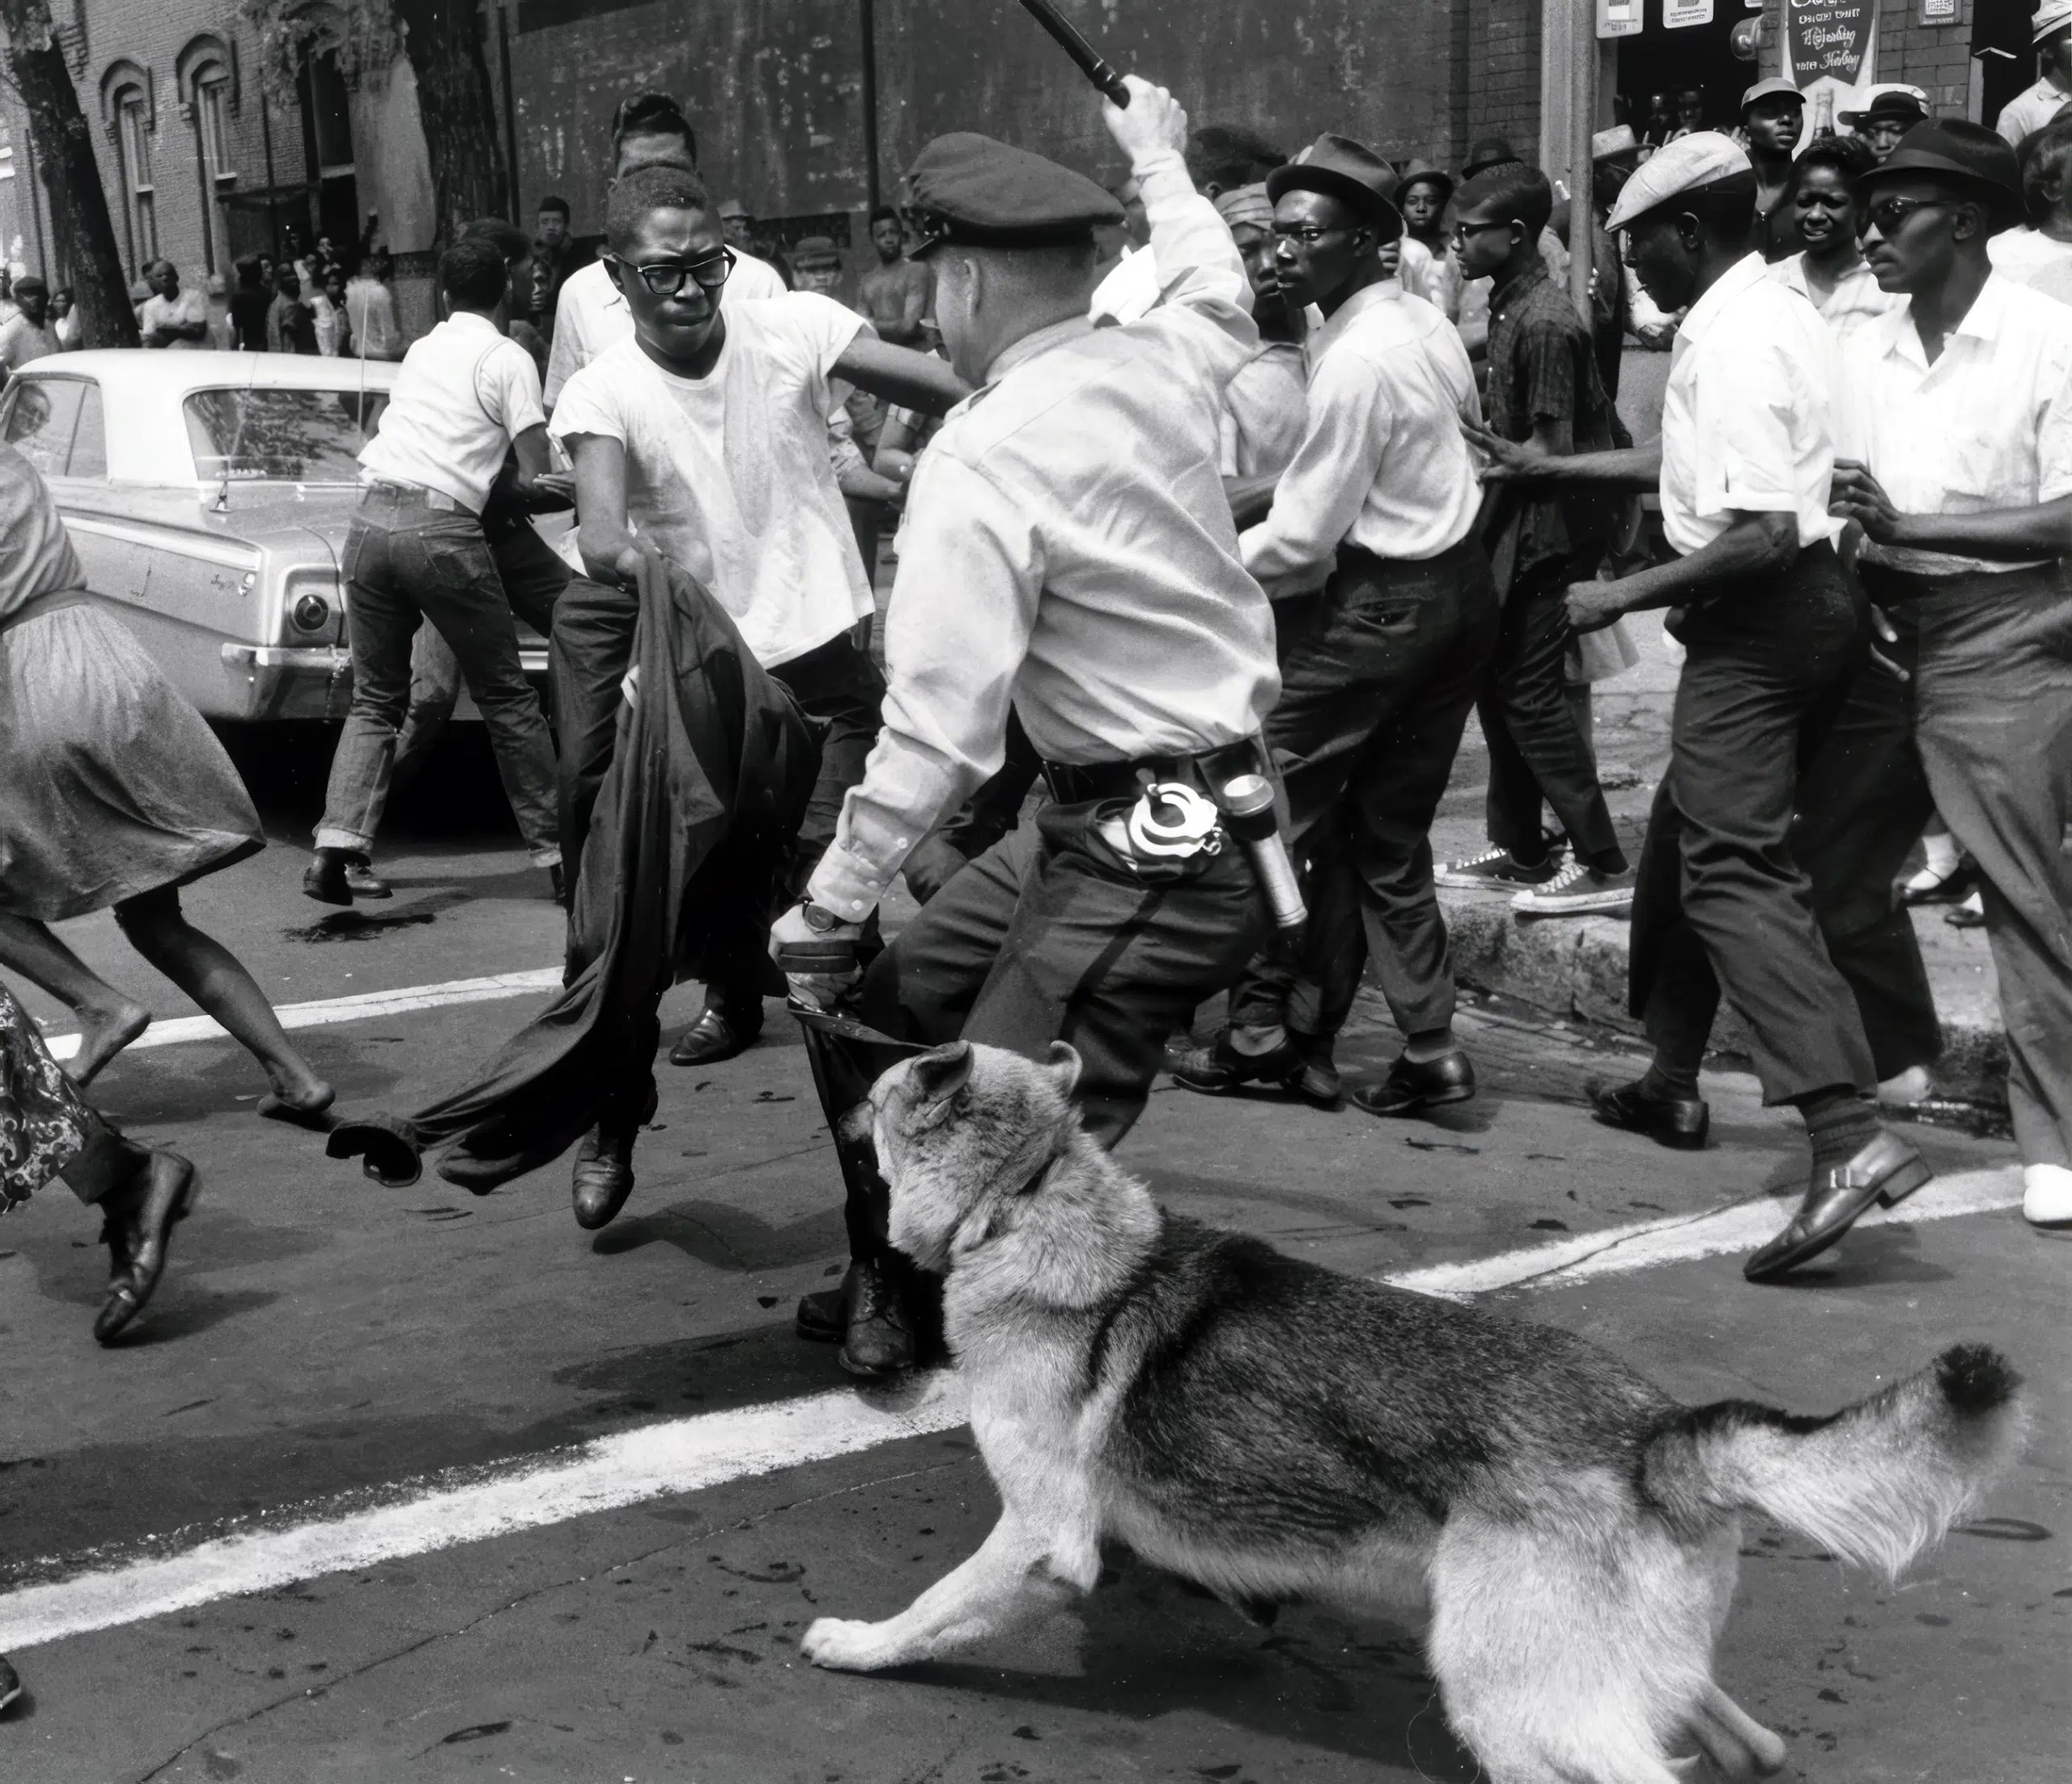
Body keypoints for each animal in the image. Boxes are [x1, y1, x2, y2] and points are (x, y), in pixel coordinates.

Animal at [800, 1035, 2030, 1773]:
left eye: (884, 1085)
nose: (842, 1072)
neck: (1027, 1198)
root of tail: (1661, 1441)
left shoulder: (1040, 1536)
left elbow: (937, 1607)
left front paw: (862, 1645)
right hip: (1606, 1679)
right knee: (1741, 1738)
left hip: (1519, 1710)